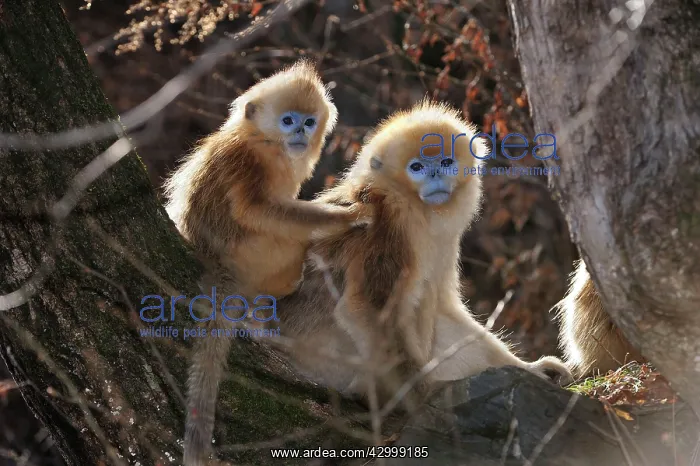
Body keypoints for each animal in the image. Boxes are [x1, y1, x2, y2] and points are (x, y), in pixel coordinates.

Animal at [162, 59, 370, 466]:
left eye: (308, 121)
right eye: (288, 120)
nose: (301, 132)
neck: (266, 140)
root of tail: (217, 261)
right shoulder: (254, 161)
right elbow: (257, 210)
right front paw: (345, 217)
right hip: (258, 255)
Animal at [275, 100, 573, 409]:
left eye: (445, 163)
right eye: (416, 167)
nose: (435, 176)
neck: (412, 204)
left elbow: (444, 308)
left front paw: (530, 369)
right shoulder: (387, 224)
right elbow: (369, 309)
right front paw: (426, 393)